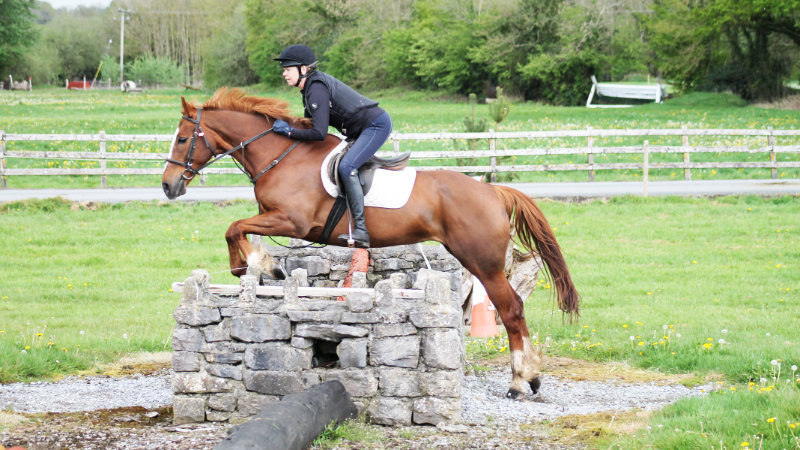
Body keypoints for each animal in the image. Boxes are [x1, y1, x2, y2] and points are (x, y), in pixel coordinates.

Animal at [161, 89, 576, 400]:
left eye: (182, 139)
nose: (168, 186)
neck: (281, 156)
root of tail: (493, 190)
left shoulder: (292, 220)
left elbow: (234, 228)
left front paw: (256, 265)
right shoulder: (274, 217)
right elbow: (240, 229)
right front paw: (260, 264)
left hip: (482, 262)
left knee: (512, 310)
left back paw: (521, 380)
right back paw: (529, 377)